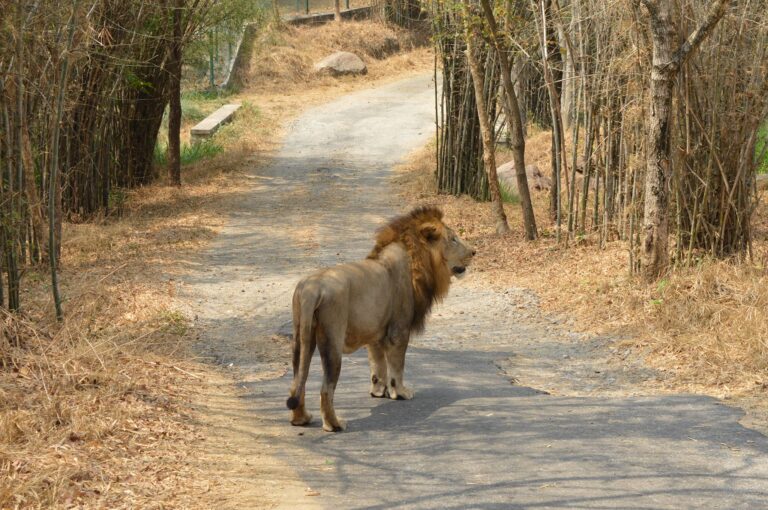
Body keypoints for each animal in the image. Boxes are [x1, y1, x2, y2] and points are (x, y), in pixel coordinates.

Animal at [286, 206, 475, 432]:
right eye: (453, 239)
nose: (474, 252)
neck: (416, 261)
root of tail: (312, 289)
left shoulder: (375, 332)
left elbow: (378, 365)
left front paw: (378, 391)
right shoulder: (398, 331)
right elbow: (397, 366)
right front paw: (400, 393)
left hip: (301, 337)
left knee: (298, 381)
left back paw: (301, 419)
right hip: (332, 341)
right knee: (326, 388)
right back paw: (335, 424)